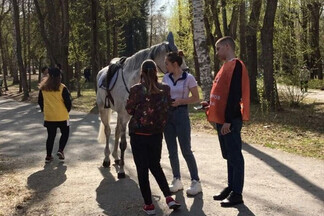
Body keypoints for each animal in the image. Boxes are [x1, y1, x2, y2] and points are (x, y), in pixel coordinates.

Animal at [96, 31, 187, 177]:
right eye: (173, 59)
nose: (186, 71)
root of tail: (101, 72)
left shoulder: (127, 115)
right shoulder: (124, 115)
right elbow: (123, 143)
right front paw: (121, 171)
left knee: (116, 131)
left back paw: (115, 157)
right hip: (103, 110)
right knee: (108, 130)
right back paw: (106, 159)